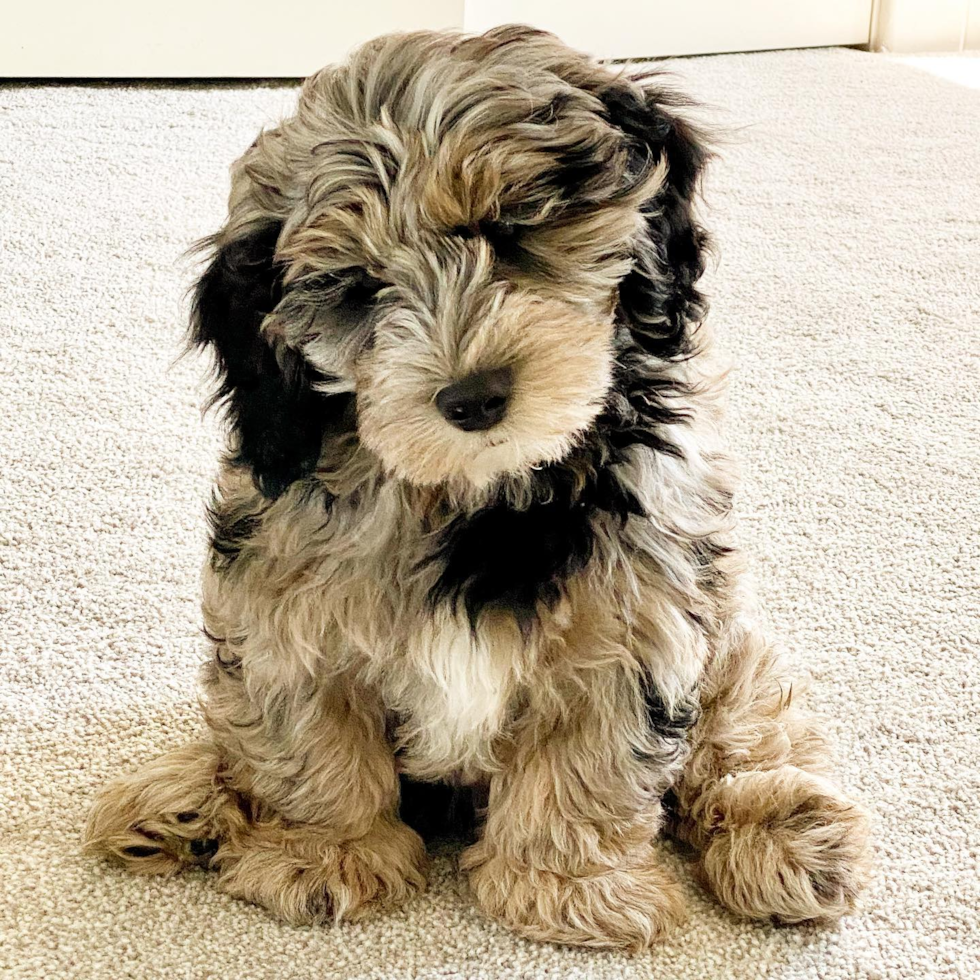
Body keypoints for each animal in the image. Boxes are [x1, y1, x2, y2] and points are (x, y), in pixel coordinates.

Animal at [80, 26, 868, 948]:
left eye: (513, 227)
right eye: (359, 288)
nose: (474, 396)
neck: (476, 489)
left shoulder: (638, 611)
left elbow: (590, 756)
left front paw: (567, 887)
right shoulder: (283, 592)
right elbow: (309, 731)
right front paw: (325, 854)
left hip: (728, 625)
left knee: (743, 725)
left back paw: (785, 834)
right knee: (238, 731)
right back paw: (183, 802)